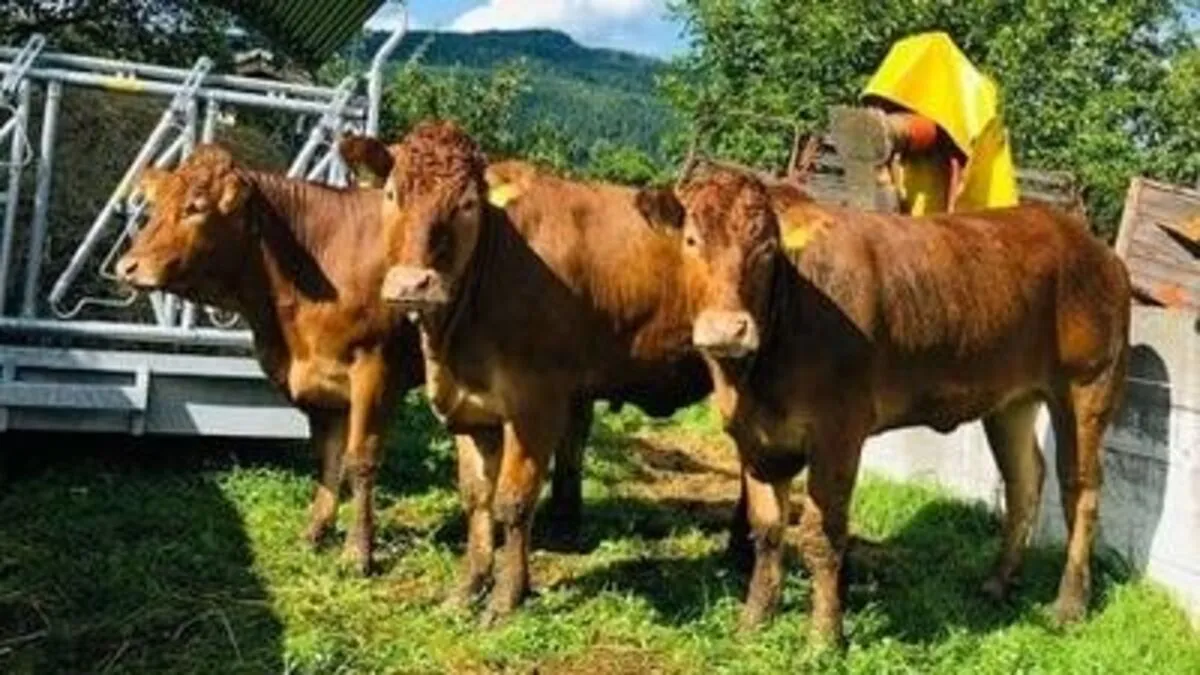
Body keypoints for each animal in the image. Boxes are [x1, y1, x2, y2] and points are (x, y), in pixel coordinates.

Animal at [111, 143, 585, 575]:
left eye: (195, 207)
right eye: (156, 203)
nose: (128, 266)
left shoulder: (375, 369)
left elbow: (360, 460)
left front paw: (358, 552)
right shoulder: (320, 380)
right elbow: (327, 458)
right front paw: (315, 532)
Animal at [339, 121, 713, 623]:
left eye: (468, 205)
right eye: (392, 193)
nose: (412, 285)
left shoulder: (538, 403)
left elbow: (513, 501)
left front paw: (505, 598)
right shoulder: (472, 408)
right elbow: (477, 497)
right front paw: (467, 588)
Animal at [633, 167, 1131, 647]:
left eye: (768, 247)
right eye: (691, 240)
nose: (727, 329)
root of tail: (1092, 245)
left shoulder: (838, 430)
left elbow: (822, 535)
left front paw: (825, 638)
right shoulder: (753, 437)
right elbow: (767, 530)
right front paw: (753, 622)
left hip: (1088, 386)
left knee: (1080, 490)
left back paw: (1069, 604)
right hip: (1011, 400)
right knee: (1025, 479)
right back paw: (998, 583)